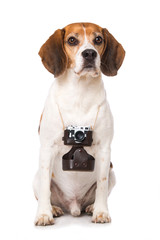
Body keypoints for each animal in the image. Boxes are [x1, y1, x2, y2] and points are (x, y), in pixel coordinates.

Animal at [32, 22, 125, 225]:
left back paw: (91, 207)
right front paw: (44, 214)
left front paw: (101, 212)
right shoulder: (47, 149)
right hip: (35, 177)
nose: (89, 53)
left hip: (113, 172)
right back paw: (54, 208)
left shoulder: (105, 150)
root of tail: (73, 206)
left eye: (98, 39)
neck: (80, 93)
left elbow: (102, 184)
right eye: (72, 40)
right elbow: (45, 188)